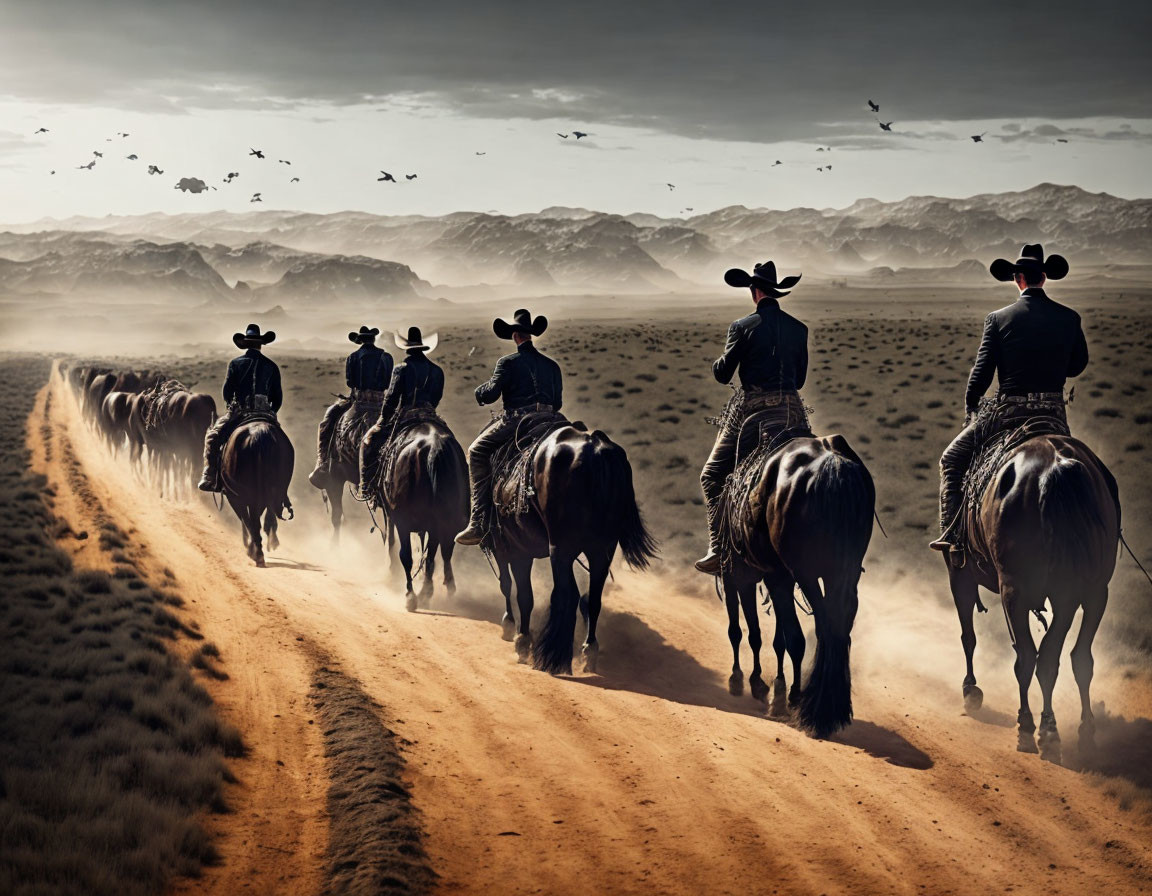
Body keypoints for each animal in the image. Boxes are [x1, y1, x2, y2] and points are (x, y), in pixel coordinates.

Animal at [217, 416, 294, 566]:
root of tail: (259, 434)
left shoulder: (233, 496)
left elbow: (246, 519)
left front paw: (250, 548)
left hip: (246, 493)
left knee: (252, 519)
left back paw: (258, 554)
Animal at [373, 414, 472, 612]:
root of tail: (434, 448)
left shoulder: (396, 517)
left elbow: (398, 547)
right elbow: (430, 554)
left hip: (405, 520)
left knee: (407, 555)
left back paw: (412, 595)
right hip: (440, 522)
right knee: (436, 555)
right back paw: (429, 592)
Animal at [486, 421, 658, 672]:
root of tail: (596, 449)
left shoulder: (517, 549)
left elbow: (519, 592)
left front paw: (520, 639)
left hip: (561, 549)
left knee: (565, 594)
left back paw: (552, 657)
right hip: (601, 550)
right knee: (592, 599)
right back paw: (588, 651)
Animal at [718, 430, 870, 732]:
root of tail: (833, 464)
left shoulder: (745, 574)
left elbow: (751, 631)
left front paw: (753, 683)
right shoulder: (776, 578)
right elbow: (776, 636)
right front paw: (773, 687)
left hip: (804, 573)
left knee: (817, 628)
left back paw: (810, 706)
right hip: (843, 574)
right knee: (837, 625)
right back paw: (828, 705)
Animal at [944, 435, 1115, 760]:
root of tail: (1053, 467)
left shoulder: (959, 571)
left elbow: (967, 635)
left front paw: (970, 690)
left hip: (1016, 590)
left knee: (1027, 657)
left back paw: (1031, 729)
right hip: (1087, 591)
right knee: (1069, 657)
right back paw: (1073, 733)